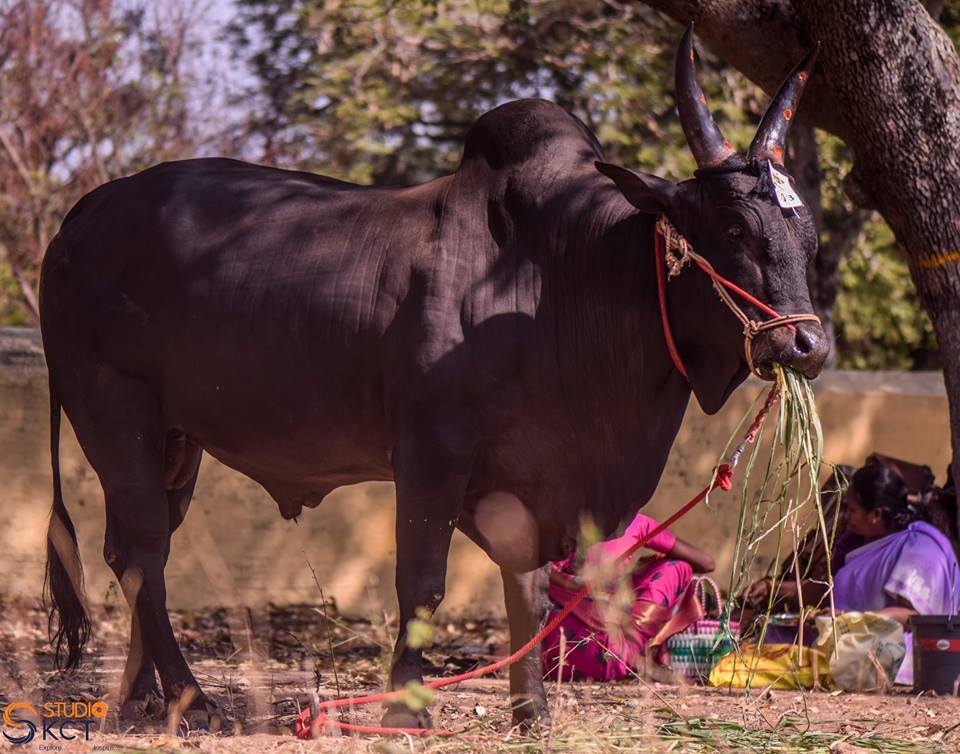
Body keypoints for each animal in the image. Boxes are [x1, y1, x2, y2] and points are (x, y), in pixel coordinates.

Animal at [41, 30, 828, 728]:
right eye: (733, 228)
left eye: (808, 233)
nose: (808, 344)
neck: (562, 278)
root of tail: (81, 215)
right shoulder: (431, 453)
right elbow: (422, 584)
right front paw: (408, 707)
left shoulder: (529, 481)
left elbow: (527, 590)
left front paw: (531, 711)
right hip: (112, 409)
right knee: (141, 550)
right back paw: (189, 697)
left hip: (177, 440)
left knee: (138, 553)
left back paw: (141, 696)